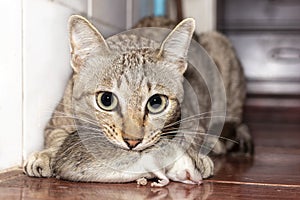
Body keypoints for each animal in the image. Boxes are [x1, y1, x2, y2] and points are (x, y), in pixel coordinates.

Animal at [24, 14, 253, 187]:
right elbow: (56, 138)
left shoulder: (194, 116)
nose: (132, 141)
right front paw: (45, 155)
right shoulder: (57, 120)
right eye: (106, 99)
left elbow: (190, 136)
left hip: (220, 48)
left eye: (156, 102)